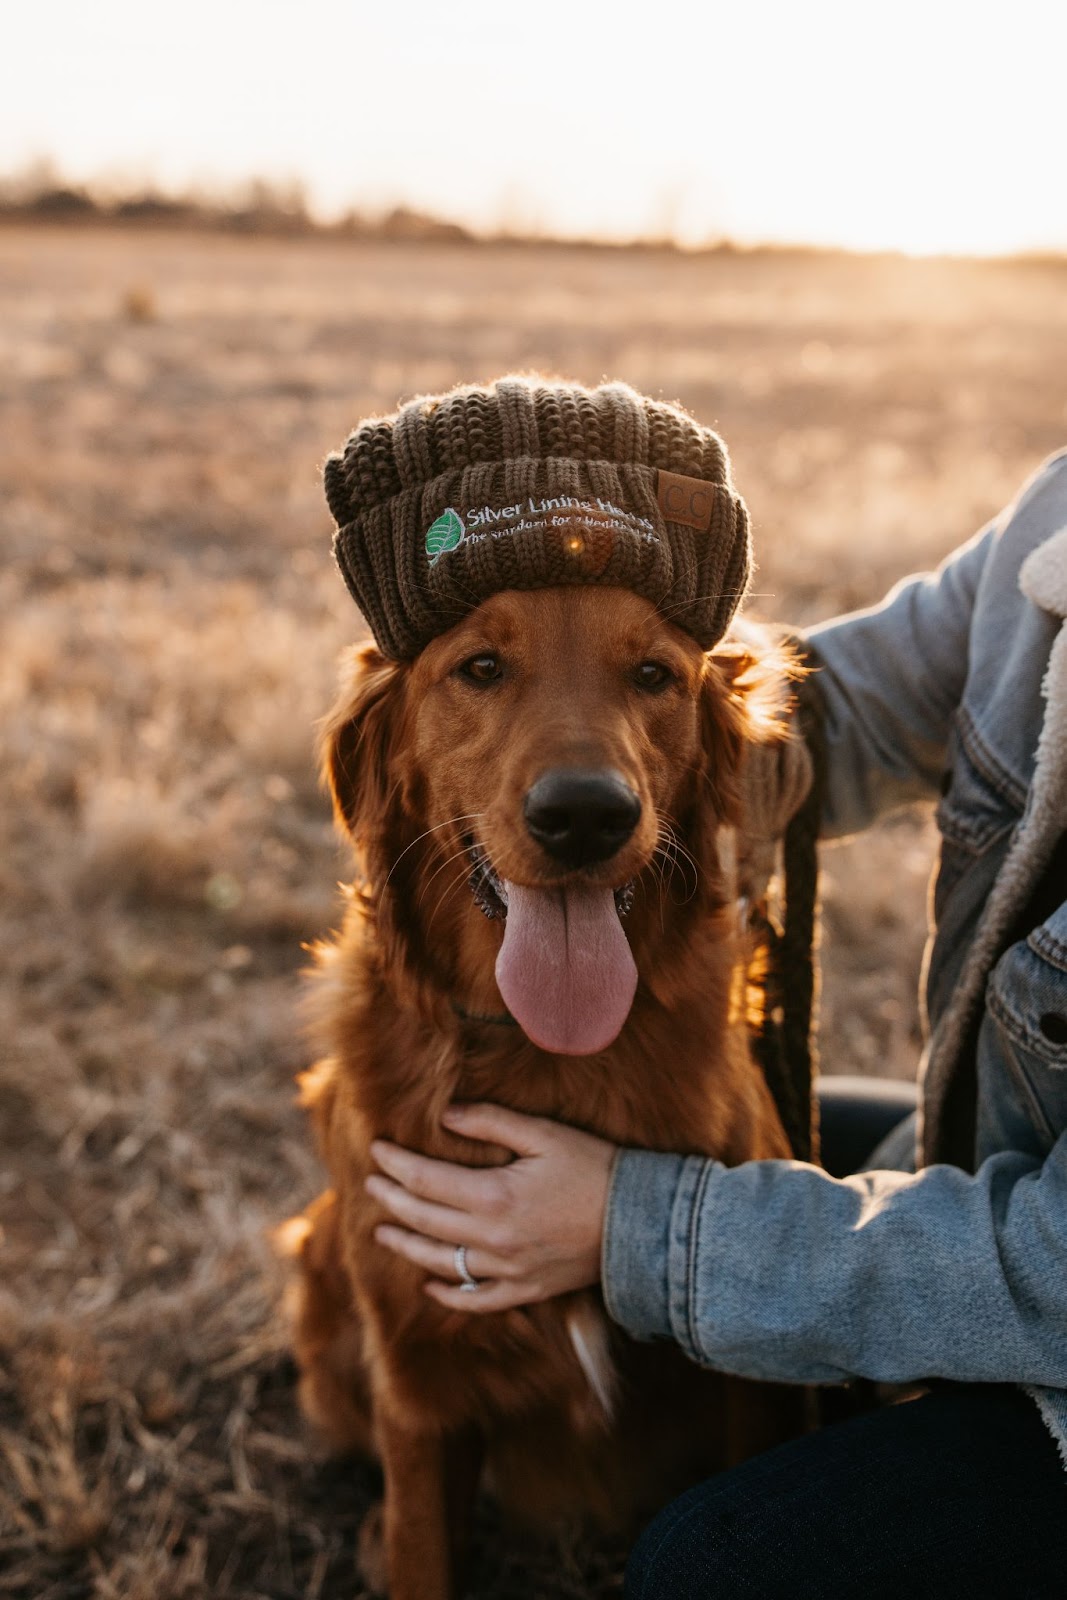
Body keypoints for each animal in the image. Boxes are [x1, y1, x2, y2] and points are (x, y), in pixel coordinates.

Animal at [287, 569, 806, 1593]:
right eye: (481, 667)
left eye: (653, 674)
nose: (584, 816)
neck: (544, 1051)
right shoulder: (417, 1383)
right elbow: (421, 1548)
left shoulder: (743, 1387)